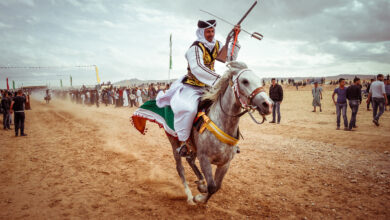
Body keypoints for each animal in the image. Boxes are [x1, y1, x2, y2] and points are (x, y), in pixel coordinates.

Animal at [166, 61, 272, 205]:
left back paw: (200, 183)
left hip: (193, 148)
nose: (268, 105)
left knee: (190, 159)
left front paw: (202, 193)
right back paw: (189, 197)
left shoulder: (225, 163)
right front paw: (199, 198)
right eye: (245, 81)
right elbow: (211, 186)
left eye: (261, 81)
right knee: (180, 168)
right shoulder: (204, 159)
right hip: (174, 142)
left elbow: (216, 187)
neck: (222, 123)